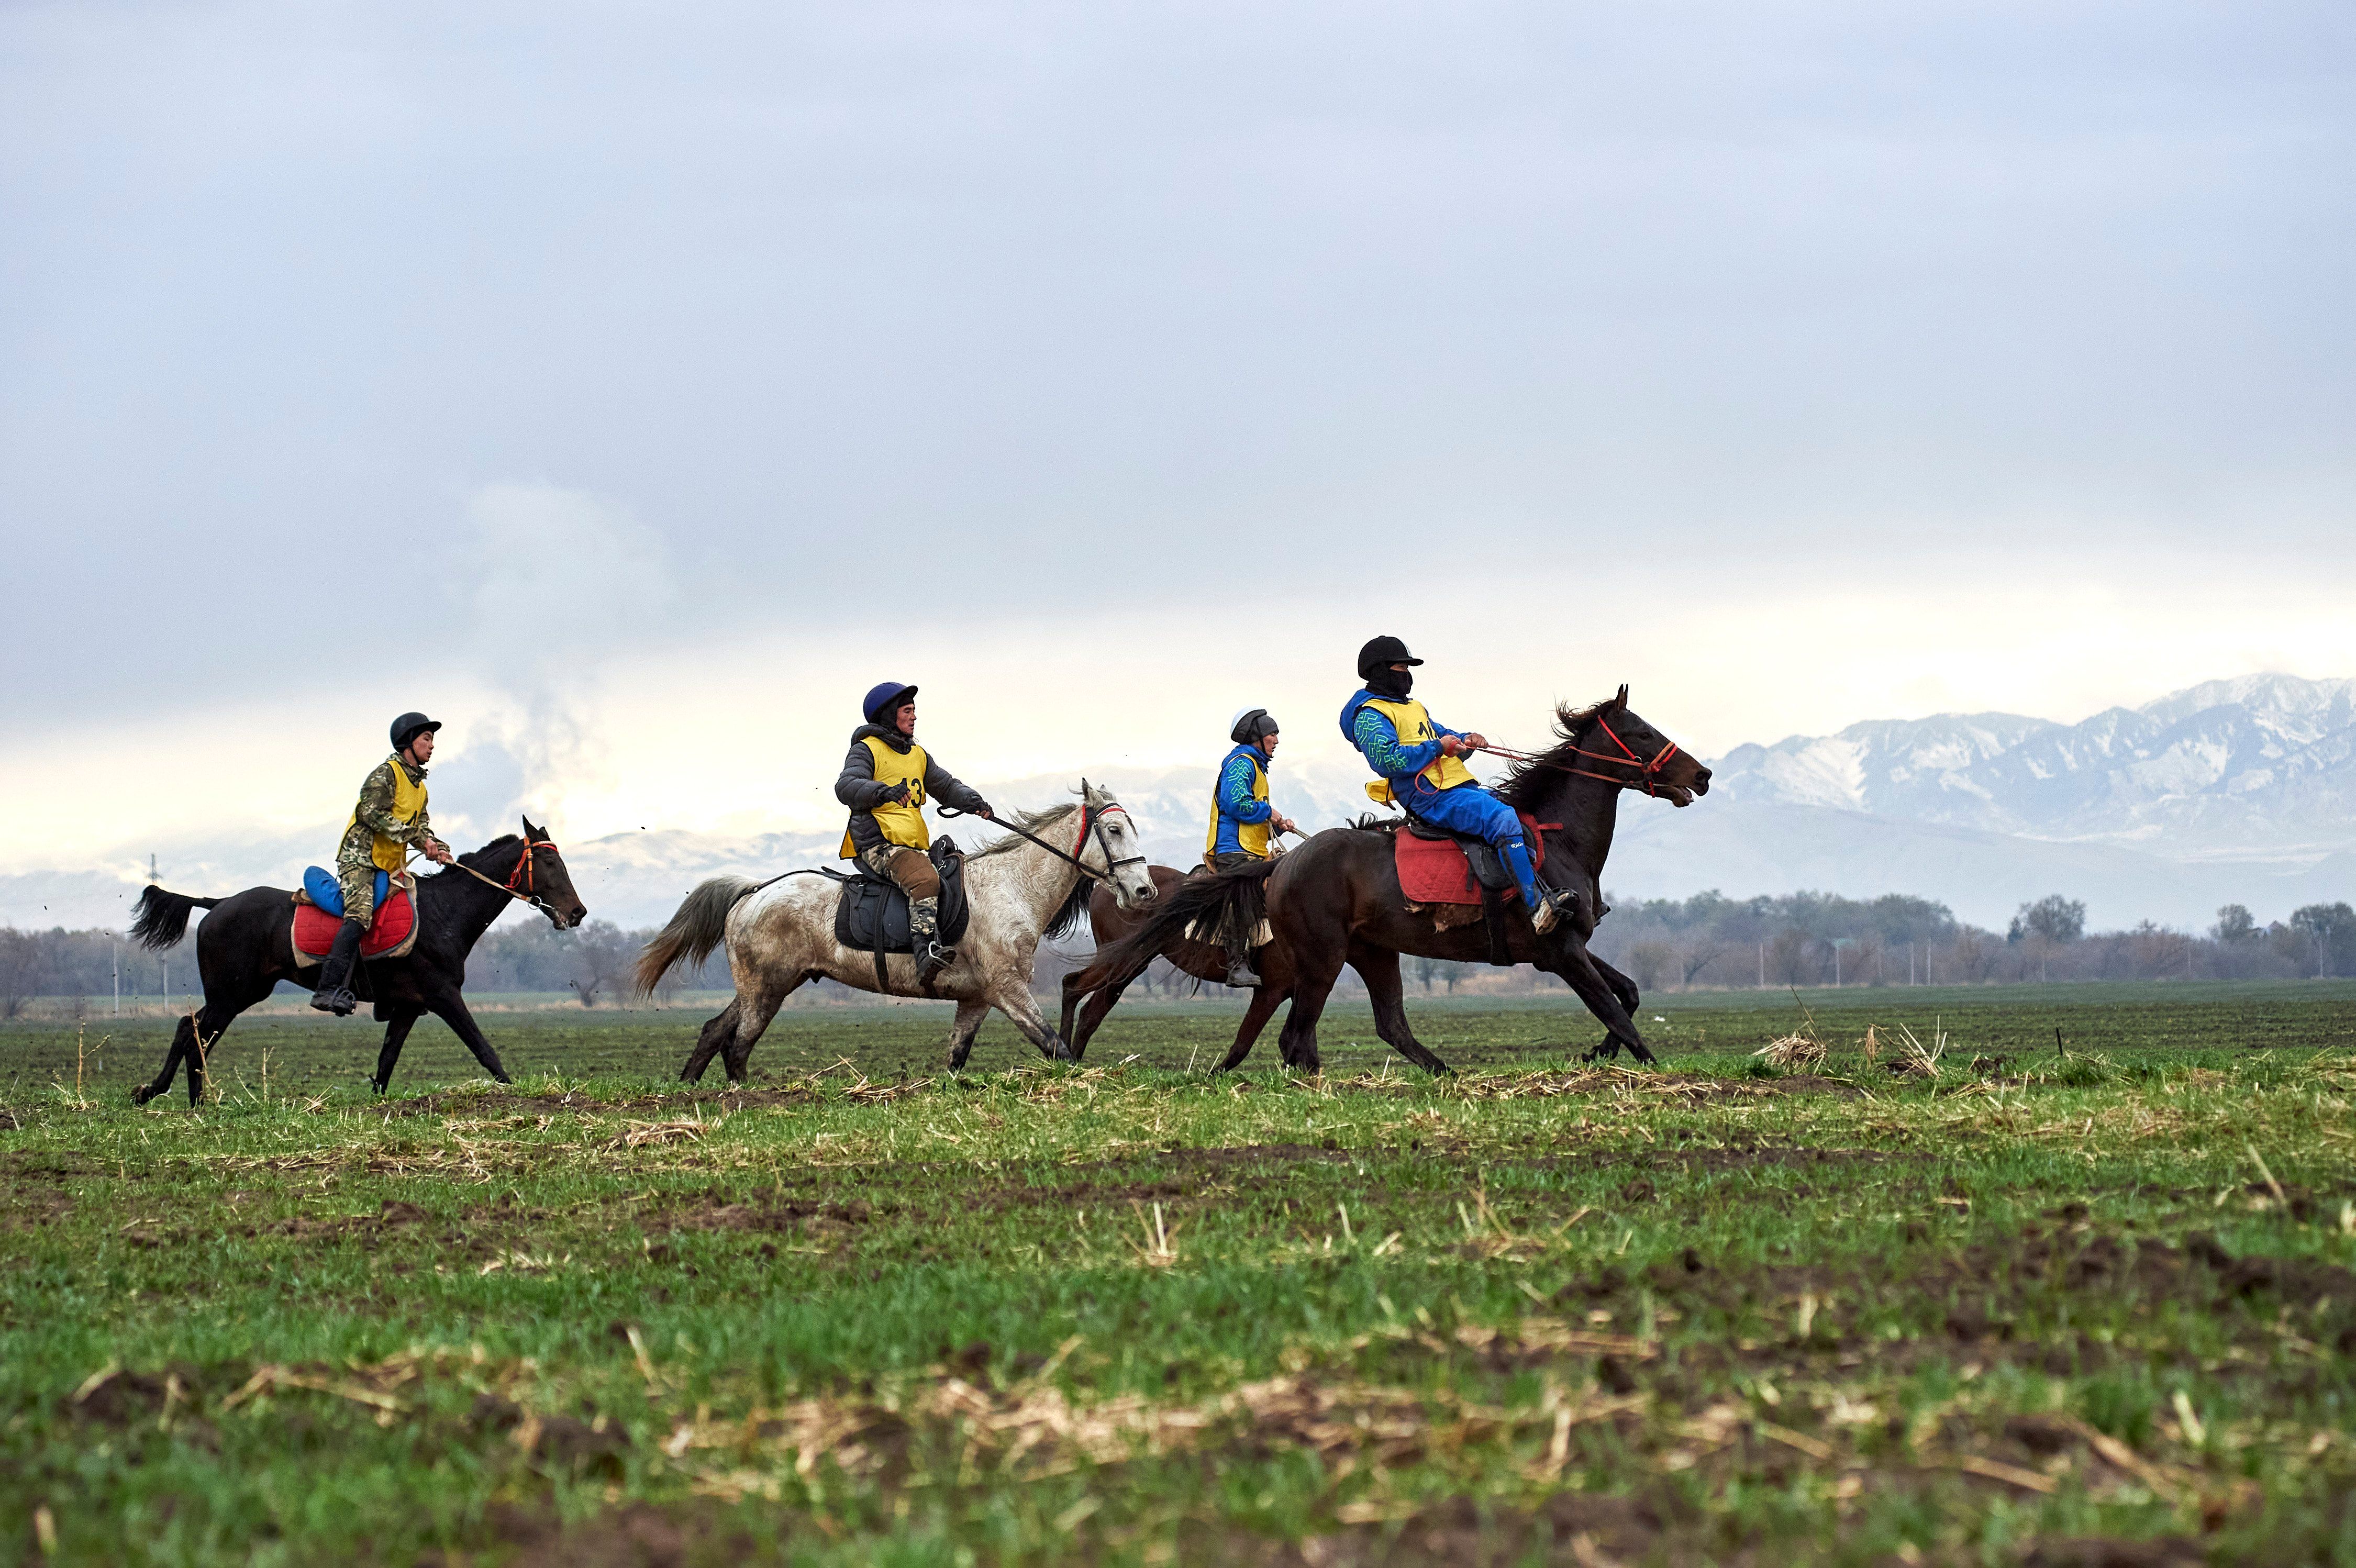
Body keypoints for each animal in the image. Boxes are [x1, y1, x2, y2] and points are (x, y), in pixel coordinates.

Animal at [124, 819, 594, 1097]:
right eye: (549, 860)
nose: (577, 912)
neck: (445, 911)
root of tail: (217, 903)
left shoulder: (409, 1007)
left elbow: (386, 1063)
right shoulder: (443, 996)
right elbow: (484, 1049)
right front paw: (517, 1093)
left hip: (238, 993)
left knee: (194, 1032)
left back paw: (190, 1101)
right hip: (232, 993)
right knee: (193, 1032)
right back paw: (158, 1092)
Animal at [631, 782, 1154, 1073]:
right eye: (1114, 831)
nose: (1144, 890)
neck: (1012, 886)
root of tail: (754, 890)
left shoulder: (977, 998)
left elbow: (956, 1060)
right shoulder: (1008, 990)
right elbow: (1056, 1047)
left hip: (761, 987)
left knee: (713, 1033)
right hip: (767, 989)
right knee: (737, 1047)